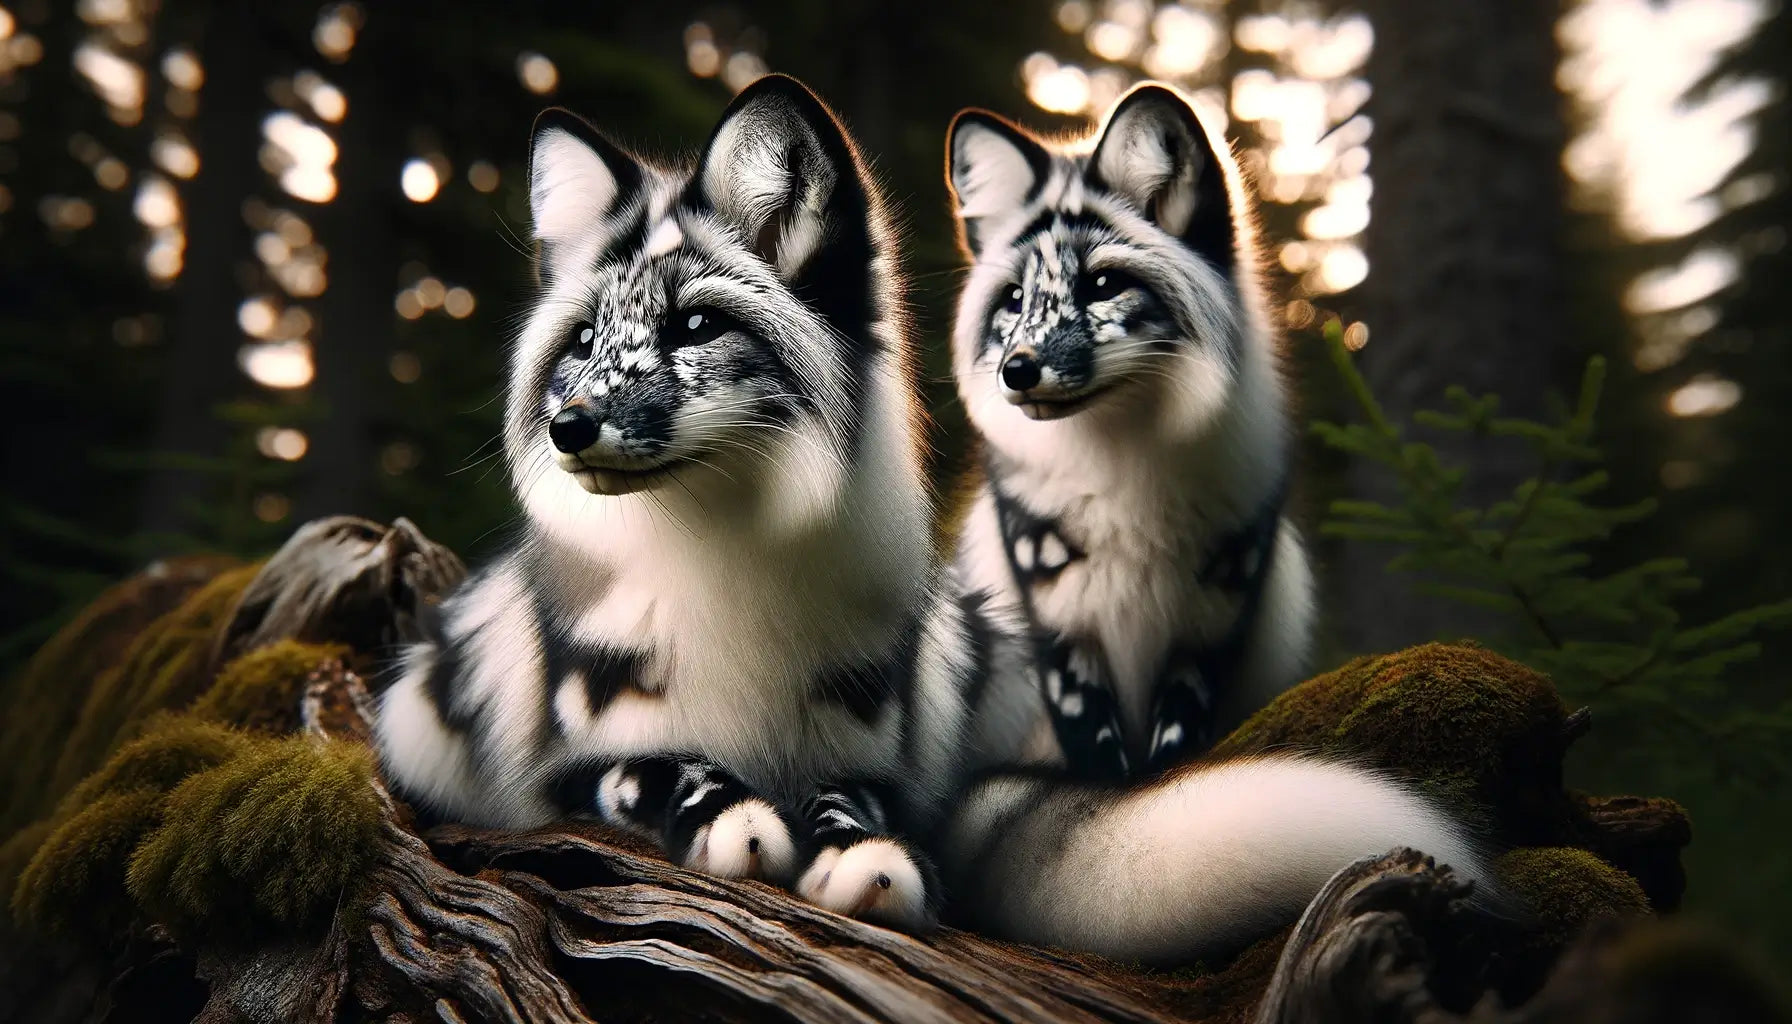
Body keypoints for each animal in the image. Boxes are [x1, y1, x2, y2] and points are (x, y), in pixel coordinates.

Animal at [946, 84, 1311, 781]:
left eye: (1103, 284)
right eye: (1014, 299)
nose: (1016, 372)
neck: (1124, 479)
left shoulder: (1210, 627)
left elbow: (1173, 755)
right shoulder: (1058, 632)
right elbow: (1097, 760)